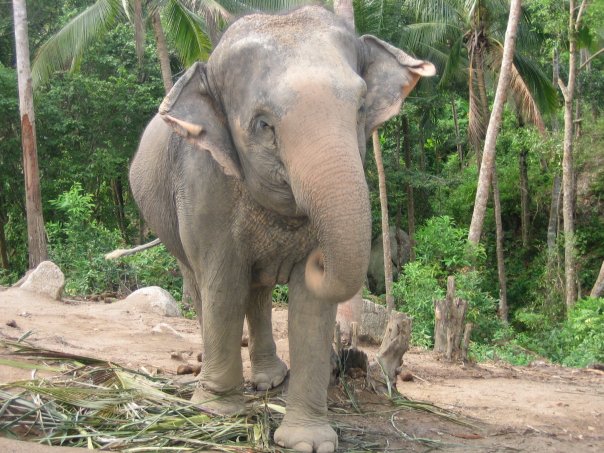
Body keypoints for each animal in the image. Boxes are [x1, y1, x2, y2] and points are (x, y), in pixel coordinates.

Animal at [129, 5, 434, 450]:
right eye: (263, 125)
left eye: (361, 107)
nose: (321, 258)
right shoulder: (202, 183)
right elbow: (223, 286)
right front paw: (217, 412)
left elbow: (310, 306)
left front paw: (307, 441)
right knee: (202, 284)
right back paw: (210, 377)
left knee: (256, 292)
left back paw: (268, 380)